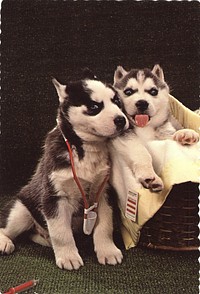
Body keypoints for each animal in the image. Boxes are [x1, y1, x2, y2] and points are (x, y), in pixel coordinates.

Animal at [0, 70, 129, 270]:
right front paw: (68, 256)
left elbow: (105, 226)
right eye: (94, 107)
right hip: (20, 209)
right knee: (7, 225)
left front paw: (108, 251)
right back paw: (4, 242)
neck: (86, 149)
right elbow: (61, 233)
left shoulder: (103, 193)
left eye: (117, 102)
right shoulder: (54, 197)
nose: (121, 120)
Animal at [109, 65, 198, 209]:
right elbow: (142, 152)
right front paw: (150, 176)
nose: (142, 103)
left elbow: (170, 137)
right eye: (128, 91)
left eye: (153, 91)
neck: (144, 127)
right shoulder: (124, 135)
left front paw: (184, 134)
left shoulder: (163, 134)